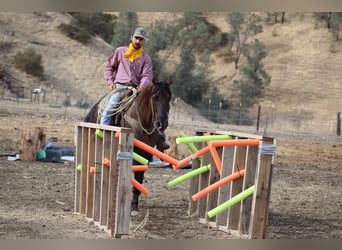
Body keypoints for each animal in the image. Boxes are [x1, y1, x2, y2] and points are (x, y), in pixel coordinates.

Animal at [84, 77, 172, 215]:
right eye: (155, 97)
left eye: (169, 98)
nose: (161, 124)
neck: (143, 121)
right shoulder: (134, 152)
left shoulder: (146, 154)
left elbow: (139, 177)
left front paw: (134, 205)